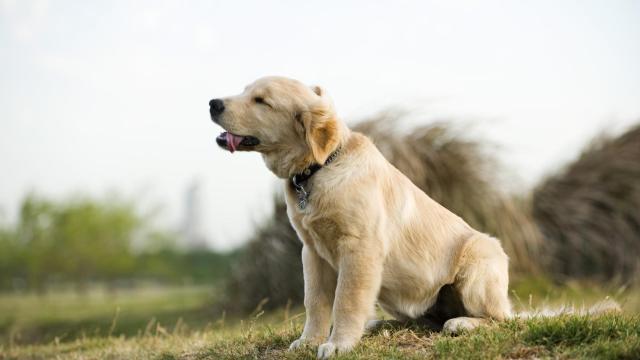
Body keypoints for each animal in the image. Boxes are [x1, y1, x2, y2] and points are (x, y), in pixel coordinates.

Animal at [210, 76, 510, 358]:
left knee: (500, 319)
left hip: (477, 263)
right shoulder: (312, 252)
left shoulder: (359, 248)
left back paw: (462, 323)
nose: (213, 103)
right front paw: (309, 341)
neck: (320, 168)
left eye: (261, 101)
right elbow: (314, 302)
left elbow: (346, 299)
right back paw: (378, 325)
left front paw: (338, 345)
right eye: (245, 90)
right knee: (422, 321)